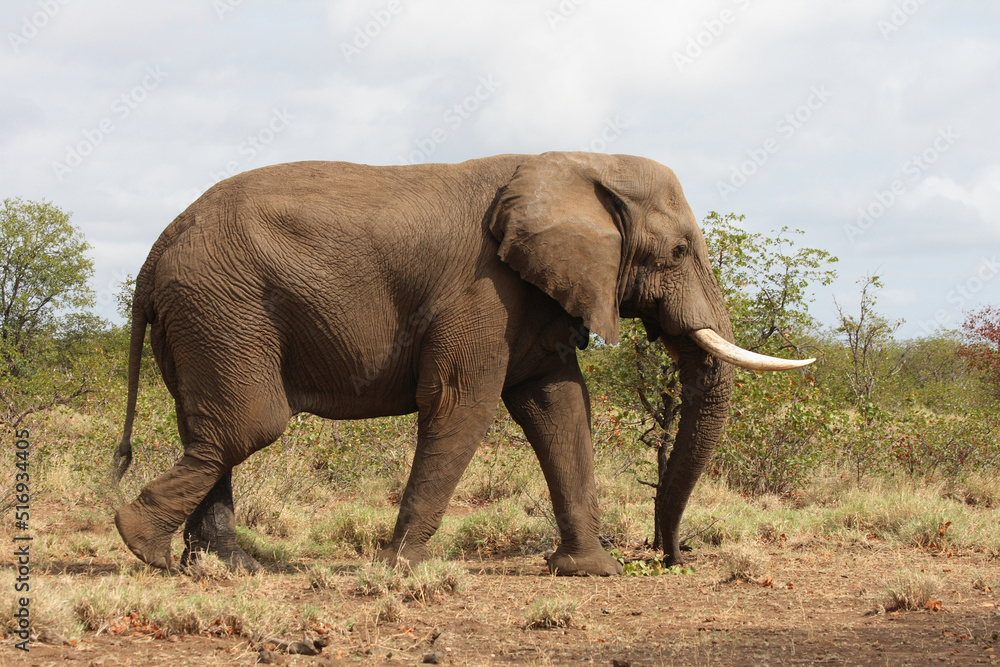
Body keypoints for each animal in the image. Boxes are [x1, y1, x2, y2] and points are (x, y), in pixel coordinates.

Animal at [113, 152, 810, 576]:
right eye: (678, 251)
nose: (670, 557)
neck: (579, 162)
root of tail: (155, 252)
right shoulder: (484, 289)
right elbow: (459, 403)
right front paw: (403, 569)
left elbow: (559, 407)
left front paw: (589, 571)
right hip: (222, 305)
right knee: (247, 426)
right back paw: (146, 548)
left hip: (205, 318)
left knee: (210, 430)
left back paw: (225, 566)